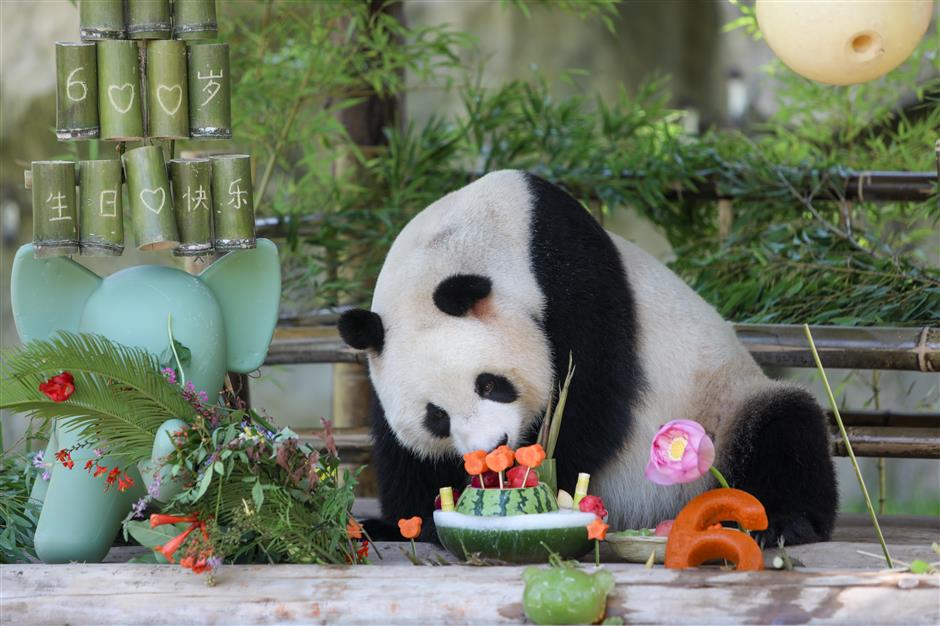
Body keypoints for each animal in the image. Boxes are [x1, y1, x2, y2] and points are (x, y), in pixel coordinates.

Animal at [338, 168, 836, 544]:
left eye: (490, 384)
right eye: (436, 416)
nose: (494, 448)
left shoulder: (571, 277)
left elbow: (589, 399)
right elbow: (403, 452)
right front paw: (405, 521)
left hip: (724, 407)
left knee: (785, 428)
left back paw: (783, 523)